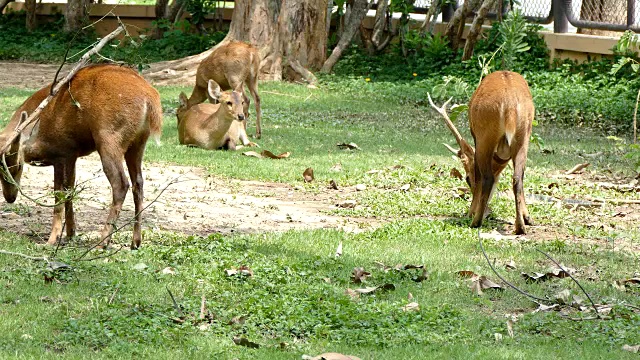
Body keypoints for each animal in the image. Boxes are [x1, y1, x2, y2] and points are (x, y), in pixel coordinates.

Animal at [0, 64, 162, 249]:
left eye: (19, 165)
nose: (10, 197)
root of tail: (150, 100)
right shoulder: (72, 154)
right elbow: (70, 190)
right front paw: (71, 233)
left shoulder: (62, 152)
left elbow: (59, 194)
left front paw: (52, 239)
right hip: (137, 144)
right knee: (138, 183)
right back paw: (135, 241)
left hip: (109, 137)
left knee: (121, 183)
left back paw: (102, 242)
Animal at [430, 70, 536, 235]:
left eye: (467, 178)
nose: (470, 212)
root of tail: (510, 104)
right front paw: (527, 217)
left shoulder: (476, 137)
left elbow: (479, 176)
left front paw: (473, 212)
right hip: (524, 136)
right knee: (518, 178)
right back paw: (520, 226)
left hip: (485, 136)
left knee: (488, 178)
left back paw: (476, 221)